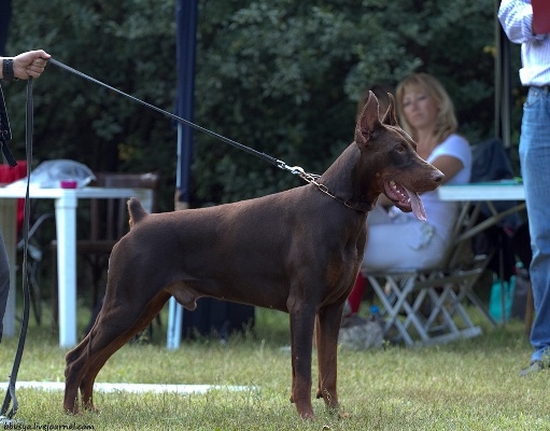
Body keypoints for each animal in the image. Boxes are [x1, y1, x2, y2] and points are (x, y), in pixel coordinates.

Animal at [64, 92, 443, 418]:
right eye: (398, 149)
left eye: (413, 145)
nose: (438, 176)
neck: (340, 207)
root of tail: (140, 219)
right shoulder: (303, 304)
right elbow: (303, 368)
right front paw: (307, 415)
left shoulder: (332, 307)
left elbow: (329, 368)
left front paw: (336, 414)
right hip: (126, 304)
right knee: (76, 358)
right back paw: (71, 414)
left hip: (142, 310)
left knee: (94, 360)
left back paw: (90, 410)